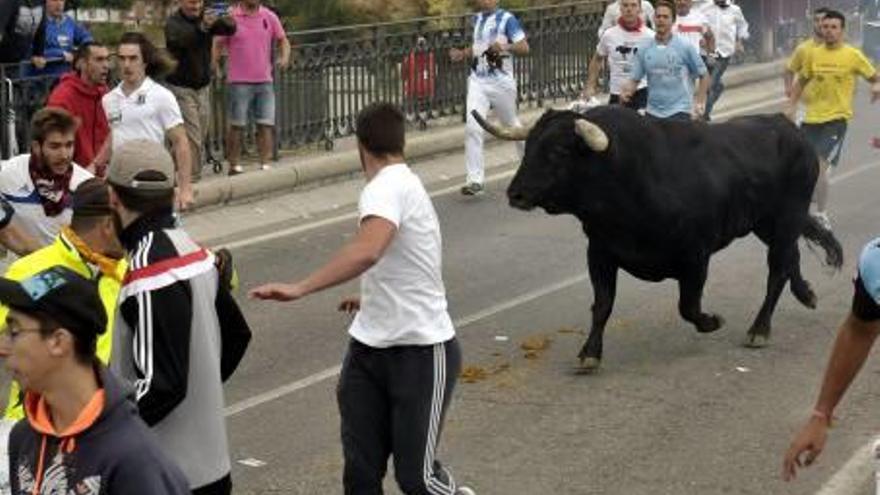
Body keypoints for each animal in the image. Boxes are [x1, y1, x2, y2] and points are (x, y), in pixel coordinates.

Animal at [470, 108, 844, 372]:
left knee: (777, 269)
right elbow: (602, 305)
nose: (516, 194)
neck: (631, 179)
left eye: (560, 151)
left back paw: (760, 330)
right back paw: (806, 294)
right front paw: (590, 353)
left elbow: (688, 307)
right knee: (791, 259)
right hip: (767, 224)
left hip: (786, 217)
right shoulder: (600, 253)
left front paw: (712, 321)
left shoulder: (695, 257)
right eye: (529, 146)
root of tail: (787, 128)